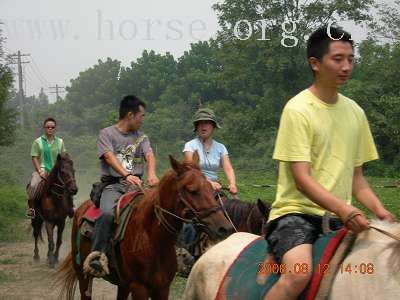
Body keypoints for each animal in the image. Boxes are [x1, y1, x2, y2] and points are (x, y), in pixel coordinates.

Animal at [57, 155, 233, 300]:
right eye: (192, 190)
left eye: (211, 189)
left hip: (123, 285)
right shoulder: (139, 288)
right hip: (83, 275)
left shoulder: (162, 288)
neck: (151, 238)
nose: (224, 228)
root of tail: (81, 208)